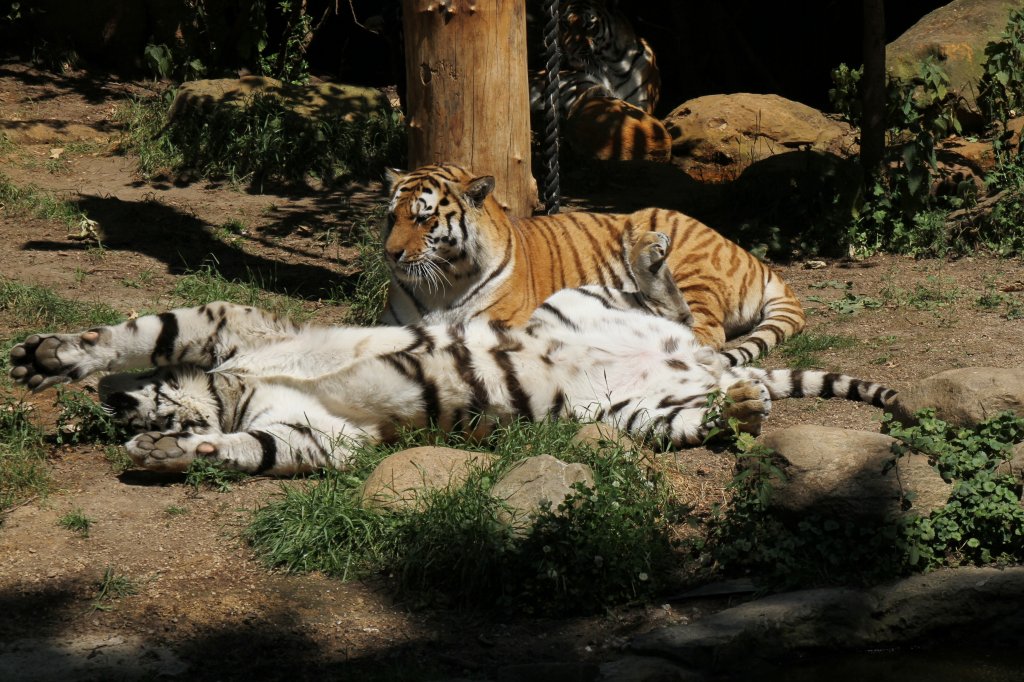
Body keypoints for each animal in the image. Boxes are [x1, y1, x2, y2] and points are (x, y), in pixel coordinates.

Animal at [6, 232, 888, 473]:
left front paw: (53, 358)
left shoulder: (238, 323)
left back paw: (649, 254)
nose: (118, 407)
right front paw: (168, 455)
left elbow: (146, 331)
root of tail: (698, 368)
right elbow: (254, 449)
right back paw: (742, 403)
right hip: (641, 411)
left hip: (572, 305)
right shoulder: (323, 437)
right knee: (708, 410)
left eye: (133, 404)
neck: (233, 389)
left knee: (676, 310)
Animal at [380, 161, 802, 366]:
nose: (391, 254)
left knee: (698, 331)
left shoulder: (505, 322)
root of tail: (756, 260)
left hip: (687, 263)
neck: (442, 283)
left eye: (423, 219)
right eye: (392, 218)